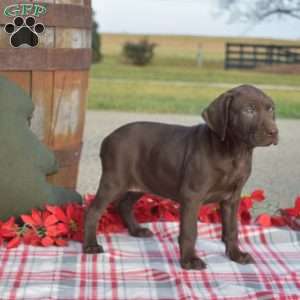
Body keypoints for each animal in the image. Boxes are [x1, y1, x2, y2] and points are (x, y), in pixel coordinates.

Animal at [82, 84, 278, 270]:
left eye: (270, 109)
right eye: (249, 110)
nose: (274, 132)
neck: (234, 152)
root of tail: (108, 138)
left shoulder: (232, 198)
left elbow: (232, 230)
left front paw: (236, 255)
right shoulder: (192, 196)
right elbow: (190, 231)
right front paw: (189, 260)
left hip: (142, 181)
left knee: (123, 205)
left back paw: (136, 230)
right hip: (114, 181)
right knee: (93, 211)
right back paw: (90, 245)